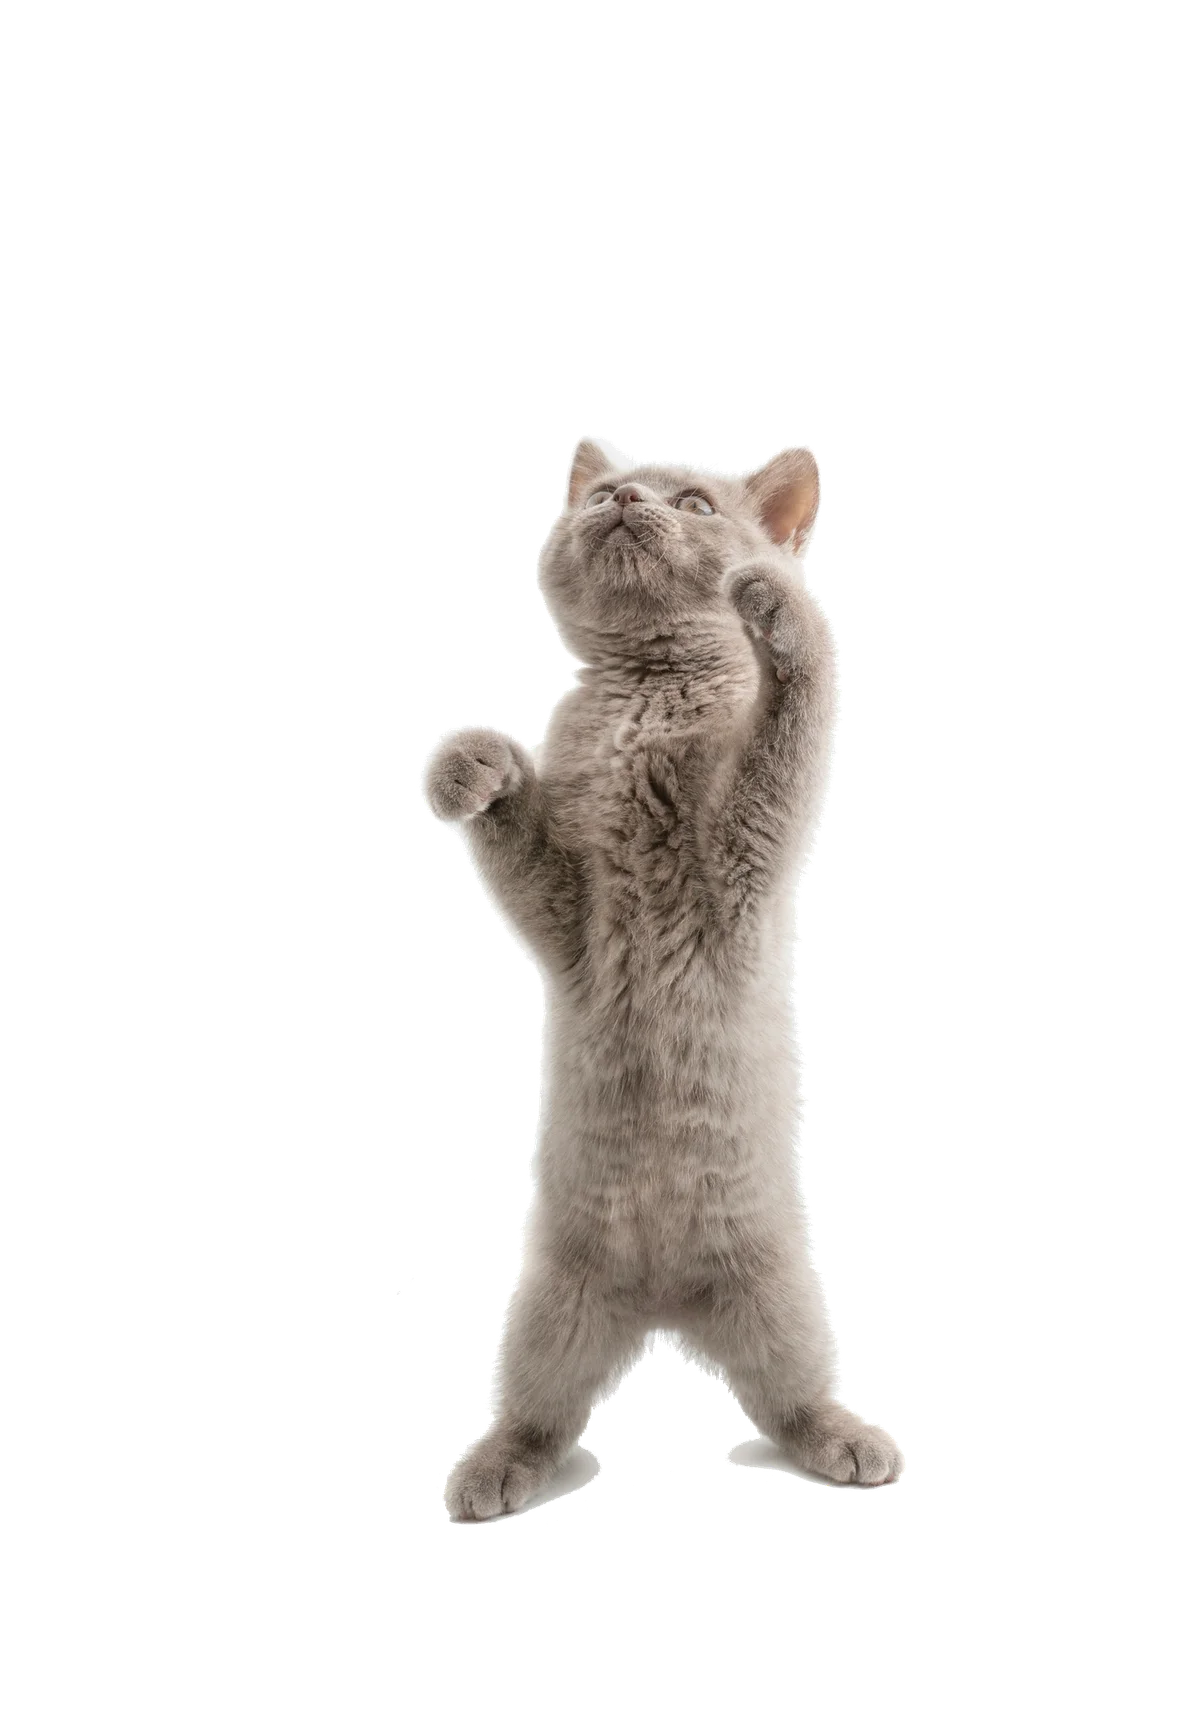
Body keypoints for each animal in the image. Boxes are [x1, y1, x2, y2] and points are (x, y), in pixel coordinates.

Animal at [424, 439, 902, 1520]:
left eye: (694, 503)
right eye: (605, 492)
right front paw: (474, 766)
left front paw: (774, 605)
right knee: (538, 1408)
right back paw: (492, 1470)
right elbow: (519, 842)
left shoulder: (746, 848)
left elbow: (791, 716)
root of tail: (665, 1298)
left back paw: (848, 1443)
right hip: (546, 1307)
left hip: (786, 1295)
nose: (624, 500)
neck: (643, 698)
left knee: (796, 1390)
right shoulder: (566, 917)